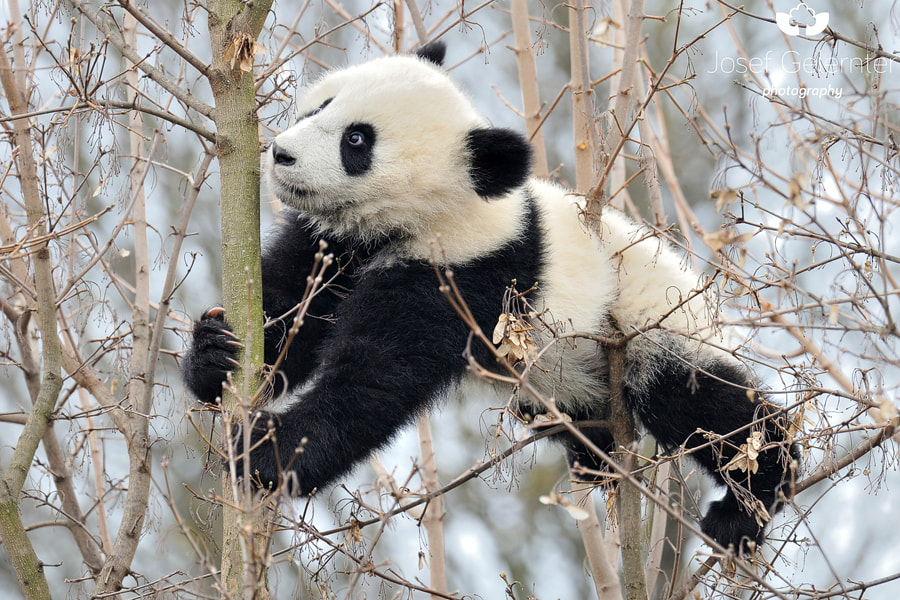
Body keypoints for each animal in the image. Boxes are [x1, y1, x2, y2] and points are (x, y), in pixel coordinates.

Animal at [181, 39, 796, 552]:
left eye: (356, 140)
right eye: (319, 107)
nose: (281, 153)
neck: (439, 214)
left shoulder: (466, 271)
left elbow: (375, 379)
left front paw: (265, 451)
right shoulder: (336, 245)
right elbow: (291, 305)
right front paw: (216, 352)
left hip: (651, 326)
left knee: (707, 408)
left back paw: (752, 501)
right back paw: (593, 457)